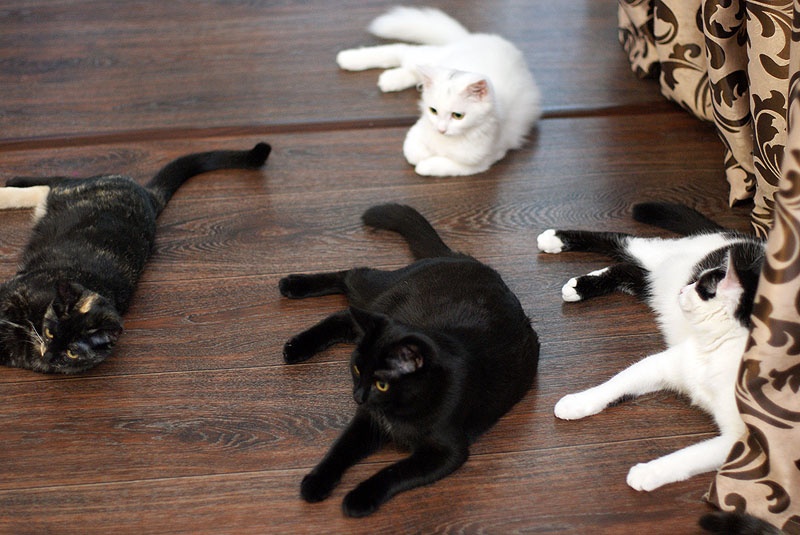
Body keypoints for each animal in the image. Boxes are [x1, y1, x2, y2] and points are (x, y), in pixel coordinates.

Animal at [0, 142, 271, 374]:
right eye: (50, 333)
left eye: (71, 353)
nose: (48, 355)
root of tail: (148, 195)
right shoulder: (14, 292)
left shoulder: (17, 351)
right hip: (79, 187)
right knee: (58, 180)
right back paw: (9, 185)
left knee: (47, 188)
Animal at [279, 203, 539, 517]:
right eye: (356, 369)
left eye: (381, 384)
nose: (357, 396)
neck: (398, 410)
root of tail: (462, 257)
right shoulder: (367, 420)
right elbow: (340, 448)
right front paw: (316, 482)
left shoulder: (445, 451)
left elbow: (394, 472)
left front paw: (358, 498)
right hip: (379, 298)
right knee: (352, 276)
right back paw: (292, 292)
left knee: (345, 311)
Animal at [336, 6, 540, 177]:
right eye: (433, 111)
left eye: (458, 116)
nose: (441, 129)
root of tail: (472, 37)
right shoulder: (418, 128)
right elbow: (411, 151)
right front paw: (421, 156)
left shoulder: (481, 162)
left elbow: (440, 165)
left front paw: (425, 164)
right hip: (427, 58)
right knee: (402, 51)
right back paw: (348, 59)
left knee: (409, 68)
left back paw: (389, 80)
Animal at [536, 202, 764, 491]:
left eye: (701, 288)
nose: (683, 290)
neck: (715, 353)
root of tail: (744, 236)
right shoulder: (661, 363)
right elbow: (615, 383)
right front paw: (577, 402)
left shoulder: (743, 441)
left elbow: (688, 455)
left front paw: (647, 473)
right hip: (657, 253)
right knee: (621, 240)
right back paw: (554, 240)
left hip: (654, 285)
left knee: (631, 270)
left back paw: (581, 285)